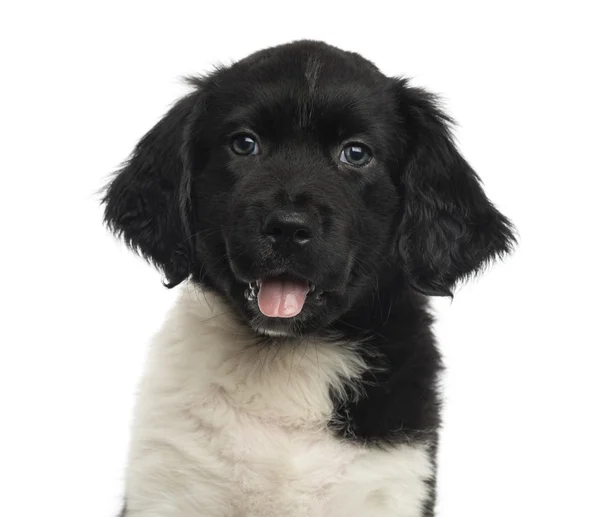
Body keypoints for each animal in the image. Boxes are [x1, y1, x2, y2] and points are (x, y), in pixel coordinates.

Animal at [103, 40, 516, 516]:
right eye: (244, 144)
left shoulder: (391, 482)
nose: (288, 227)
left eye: (356, 153)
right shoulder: (168, 482)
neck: (288, 357)